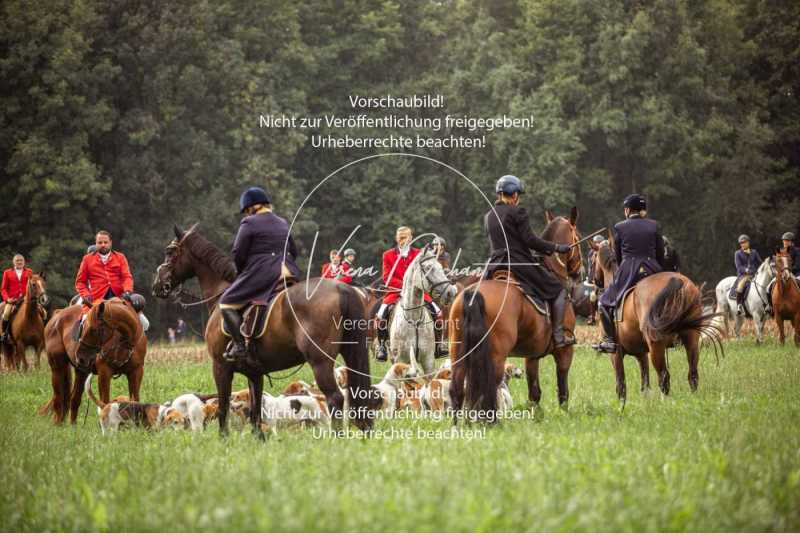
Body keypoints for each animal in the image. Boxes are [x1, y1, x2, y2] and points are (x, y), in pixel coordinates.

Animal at [153, 223, 376, 436]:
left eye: (170, 252)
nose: (157, 285)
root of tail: (341, 288)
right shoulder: (255, 373)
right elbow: (255, 411)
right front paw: (259, 438)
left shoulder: (220, 367)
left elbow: (224, 407)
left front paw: (224, 439)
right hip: (350, 352)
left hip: (320, 361)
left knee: (335, 398)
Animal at [390, 245, 460, 374]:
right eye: (428, 268)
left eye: (441, 267)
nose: (451, 292)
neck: (414, 318)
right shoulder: (400, 360)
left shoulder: (428, 361)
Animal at [446, 206, 584, 414]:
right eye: (578, 238)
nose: (580, 273)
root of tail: (472, 295)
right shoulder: (565, 352)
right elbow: (563, 390)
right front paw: (564, 413)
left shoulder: (532, 355)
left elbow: (534, 393)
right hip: (495, 355)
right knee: (489, 387)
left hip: (459, 352)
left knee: (457, 388)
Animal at [592, 237, 720, 404]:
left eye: (592, 258)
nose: (594, 281)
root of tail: (676, 281)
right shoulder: (641, 354)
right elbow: (645, 384)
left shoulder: (616, 354)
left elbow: (621, 385)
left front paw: (621, 405)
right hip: (691, 338)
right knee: (692, 374)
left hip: (656, 345)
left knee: (664, 377)